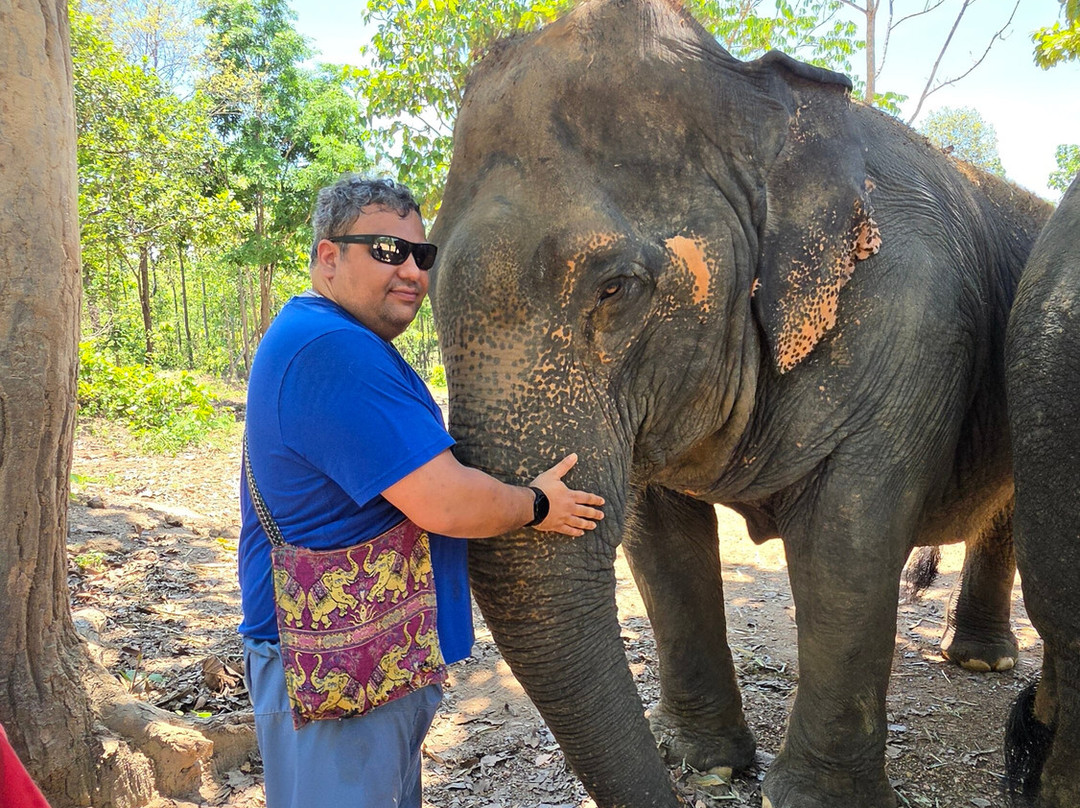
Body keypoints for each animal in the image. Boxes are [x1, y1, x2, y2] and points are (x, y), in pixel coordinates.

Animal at [428, 1, 1052, 806]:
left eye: (616, 287)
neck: (759, 101)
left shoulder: (914, 319)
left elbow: (846, 540)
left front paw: (813, 799)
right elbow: (660, 545)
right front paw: (707, 763)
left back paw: (982, 666)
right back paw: (975, 660)